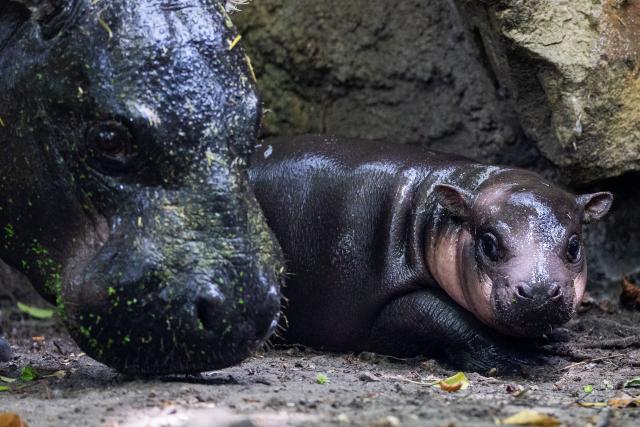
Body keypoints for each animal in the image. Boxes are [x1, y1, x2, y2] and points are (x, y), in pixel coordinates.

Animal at [249, 136, 613, 373]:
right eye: (488, 243)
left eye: (574, 245)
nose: (538, 290)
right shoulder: (376, 305)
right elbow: (439, 316)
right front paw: (525, 360)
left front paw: (553, 340)